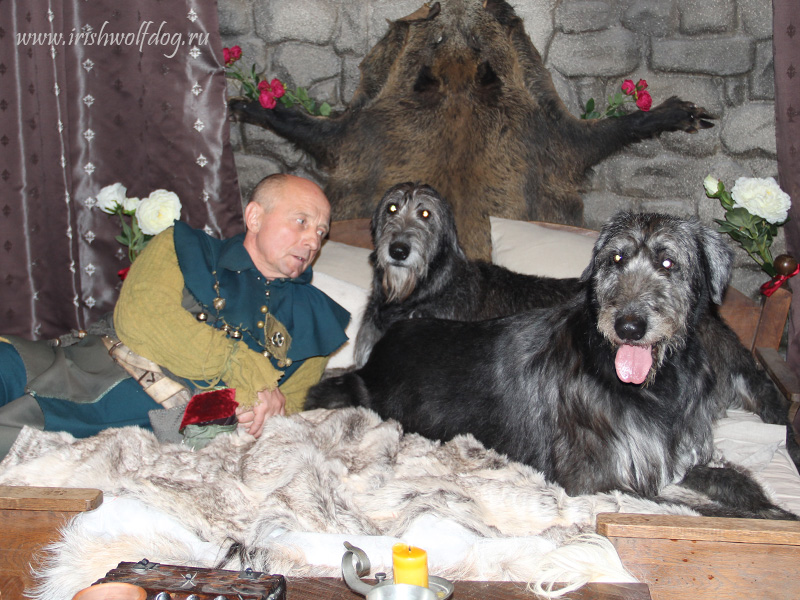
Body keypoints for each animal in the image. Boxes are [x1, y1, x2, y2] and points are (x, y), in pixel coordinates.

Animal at [310, 213, 796, 516]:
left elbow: (737, 486)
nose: (629, 326)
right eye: (615, 259)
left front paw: (771, 505)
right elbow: (699, 507)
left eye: (668, 262)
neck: (655, 387)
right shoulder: (598, 479)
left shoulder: (679, 457)